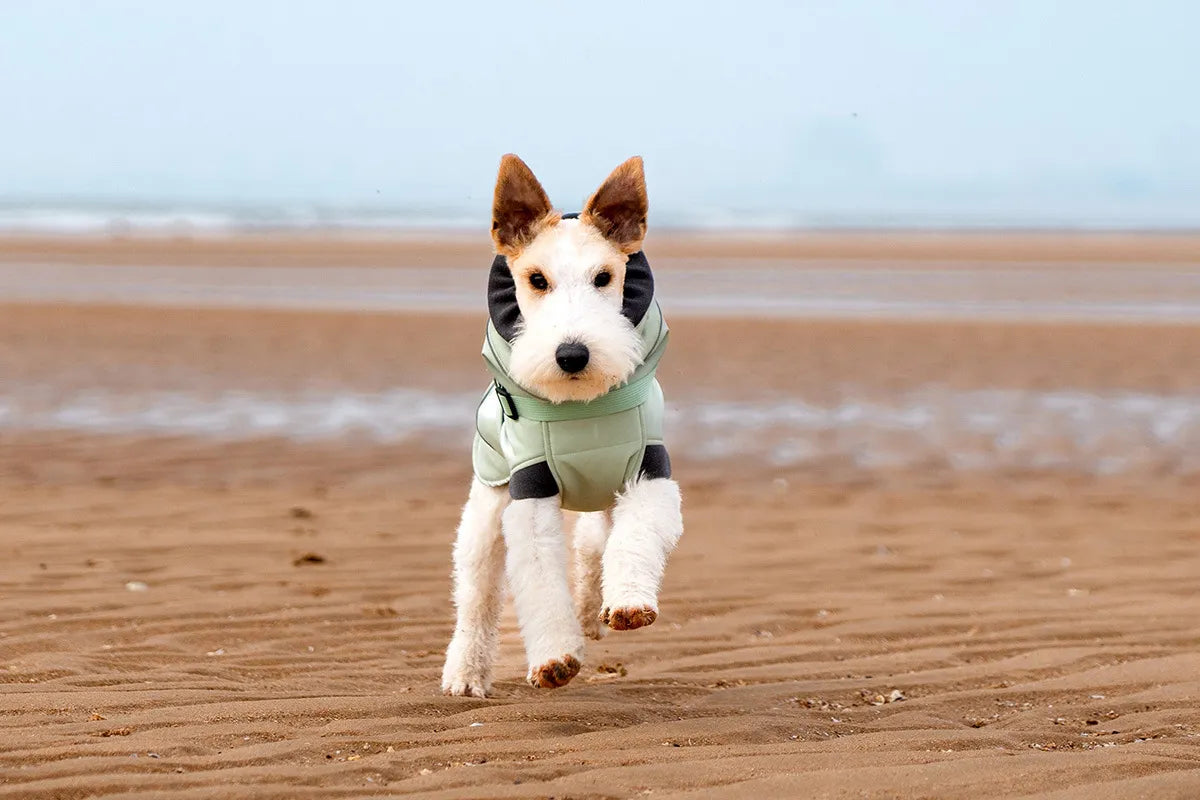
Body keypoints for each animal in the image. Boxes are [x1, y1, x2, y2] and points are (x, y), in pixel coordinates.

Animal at [441, 154, 684, 696]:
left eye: (604, 277)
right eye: (536, 279)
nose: (572, 355)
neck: (580, 409)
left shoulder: (647, 473)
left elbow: (634, 537)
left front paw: (629, 603)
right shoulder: (530, 494)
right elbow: (539, 581)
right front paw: (554, 658)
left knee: (592, 547)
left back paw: (593, 611)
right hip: (486, 509)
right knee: (476, 597)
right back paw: (465, 673)